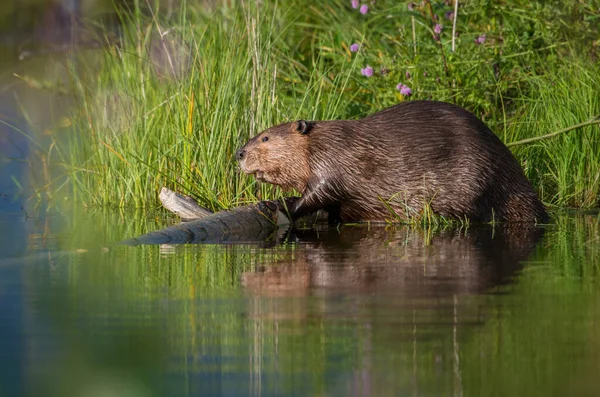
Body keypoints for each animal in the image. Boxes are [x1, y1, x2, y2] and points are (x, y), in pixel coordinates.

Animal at [234, 99, 548, 223]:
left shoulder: (336, 159)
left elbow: (321, 191)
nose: (239, 153)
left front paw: (281, 204)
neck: (321, 142)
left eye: (265, 138)